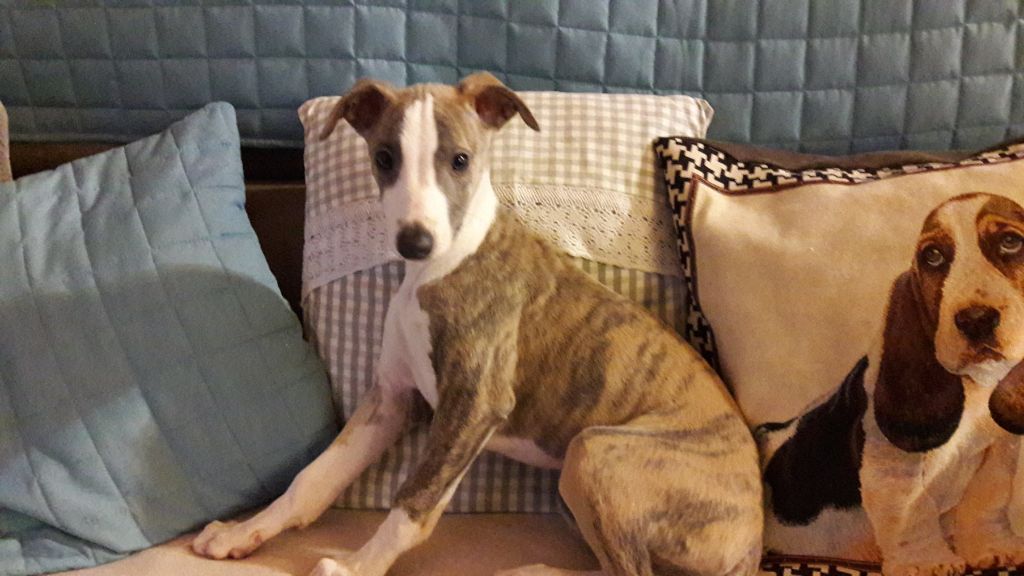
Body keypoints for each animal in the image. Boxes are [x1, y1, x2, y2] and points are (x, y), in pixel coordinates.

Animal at [190, 73, 763, 576]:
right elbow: (314, 478)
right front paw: (243, 532)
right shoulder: (391, 400)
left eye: (460, 160)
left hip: (593, 451)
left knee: (631, 571)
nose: (415, 242)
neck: (447, 262)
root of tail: (753, 545)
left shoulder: (475, 402)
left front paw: (355, 567)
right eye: (385, 158)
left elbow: (414, 501)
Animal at [760, 193, 1024, 576]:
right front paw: (927, 563)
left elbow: (987, 501)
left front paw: (992, 548)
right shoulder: (893, 469)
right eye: (933, 256)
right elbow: (912, 511)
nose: (976, 320)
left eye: (1010, 241)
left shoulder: (997, 452)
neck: (975, 388)